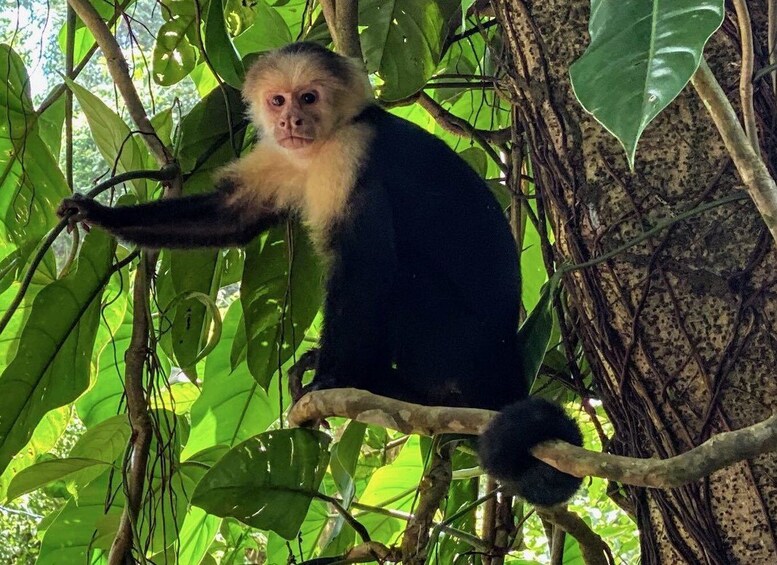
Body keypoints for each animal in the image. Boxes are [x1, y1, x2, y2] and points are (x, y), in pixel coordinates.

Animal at [57, 41, 584, 504]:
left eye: (309, 97)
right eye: (279, 100)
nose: (291, 119)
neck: (320, 147)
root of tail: (506, 362)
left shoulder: (351, 153)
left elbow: (363, 264)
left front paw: (332, 376)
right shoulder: (279, 155)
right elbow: (232, 218)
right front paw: (99, 214)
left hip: (455, 344)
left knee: (401, 275)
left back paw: (378, 382)